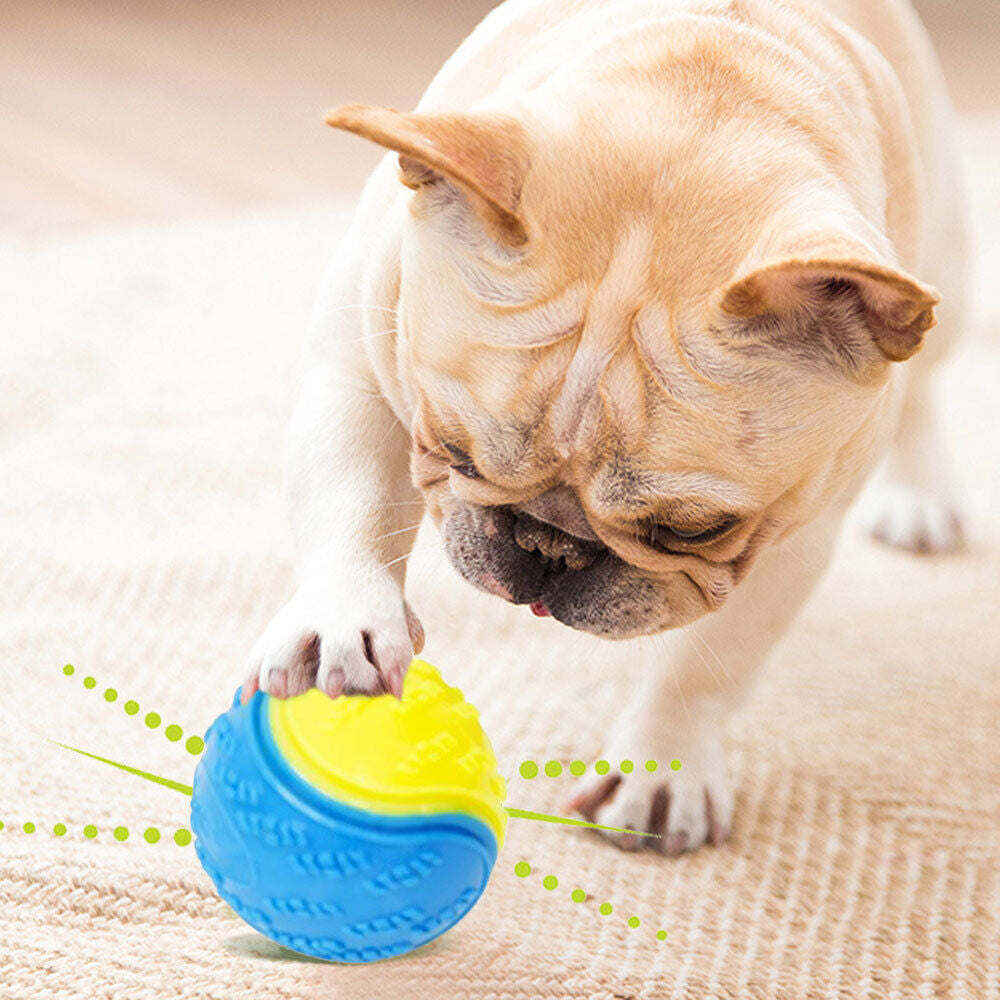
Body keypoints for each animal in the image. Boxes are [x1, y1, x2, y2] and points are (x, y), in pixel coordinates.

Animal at [238, 0, 964, 856]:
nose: (549, 547)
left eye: (692, 530)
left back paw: (919, 496)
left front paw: (662, 767)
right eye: (454, 451)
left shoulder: (788, 539)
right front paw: (344, 621)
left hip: (945, 286)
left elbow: (707, 664)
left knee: (925, 384)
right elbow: (350, 503)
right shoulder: (362, 365)